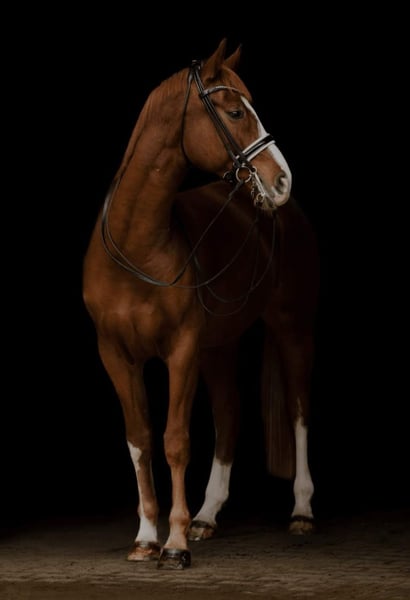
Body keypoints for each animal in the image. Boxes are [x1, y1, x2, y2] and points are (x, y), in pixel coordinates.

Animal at [82, 38, 319, 569]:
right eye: (234, 112)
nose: (281, 181)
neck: (136, 247)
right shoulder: (116, 356)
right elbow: (140, 440)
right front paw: (146, 537)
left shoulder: (182, 351)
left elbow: (175, 441)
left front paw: (174, 544)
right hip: (219, 346)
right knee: (229, 413)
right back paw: (207, 517)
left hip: (291, 327)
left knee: (297, 411)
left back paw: (301, 511)